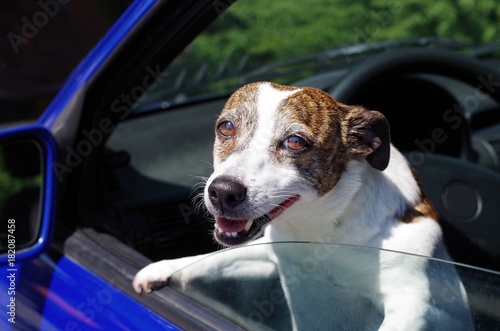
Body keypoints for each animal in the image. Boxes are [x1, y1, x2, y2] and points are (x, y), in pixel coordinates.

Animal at [133, 81, 472, 330]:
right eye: (226, 127)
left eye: (295, 142)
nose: (222, 192)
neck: (320, 229)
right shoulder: (268, 255)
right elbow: (210, 259)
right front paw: (164, 268)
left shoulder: (410, 300)